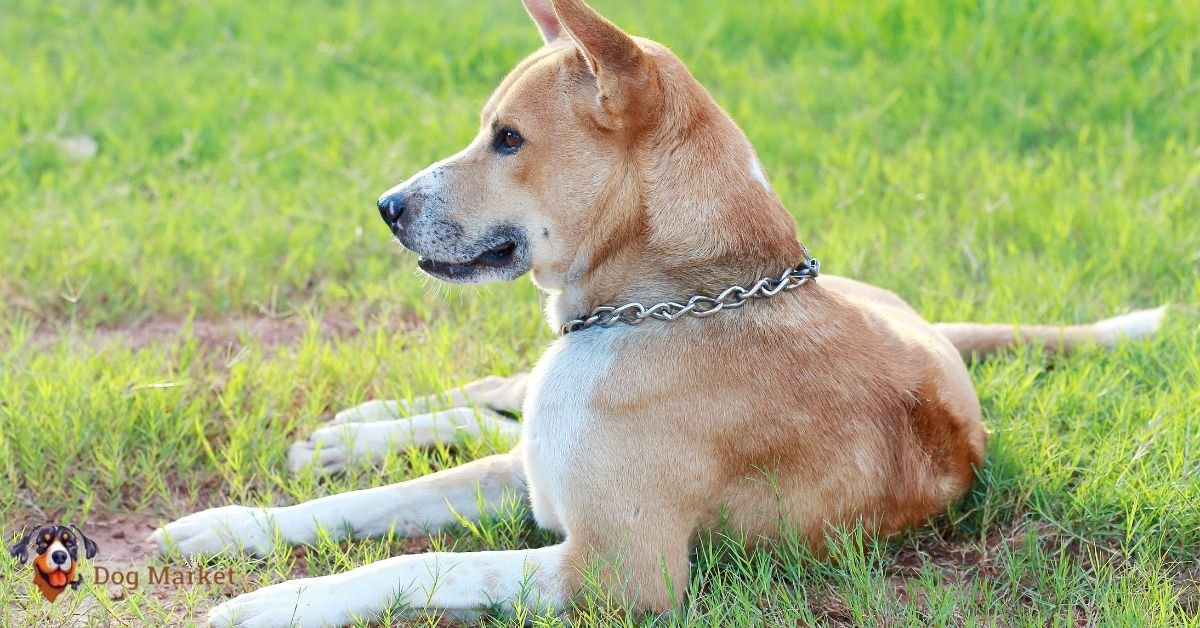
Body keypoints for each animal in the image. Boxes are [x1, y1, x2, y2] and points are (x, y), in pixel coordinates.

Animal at [150, 1, 1161, 624]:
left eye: (507, 138)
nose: (388, 208)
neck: (676, 300)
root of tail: (920, 319)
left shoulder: (612, 567)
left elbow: (410, 560)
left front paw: (272, 601)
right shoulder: (539, 486)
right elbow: (369, 506)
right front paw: (231, 527)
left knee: (499, 411)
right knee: (496, 394)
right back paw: (354, 432)